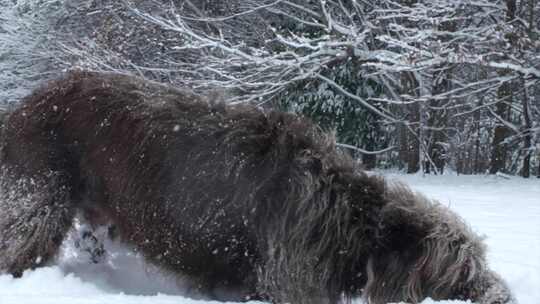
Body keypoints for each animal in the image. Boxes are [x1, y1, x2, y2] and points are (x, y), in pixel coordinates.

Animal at [0, 72, 516, 304]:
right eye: (463, 266)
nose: (504, 297)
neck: (352, 224)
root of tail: (27, 104)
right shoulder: (289, 281)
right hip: (37, 200)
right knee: (20, 243)